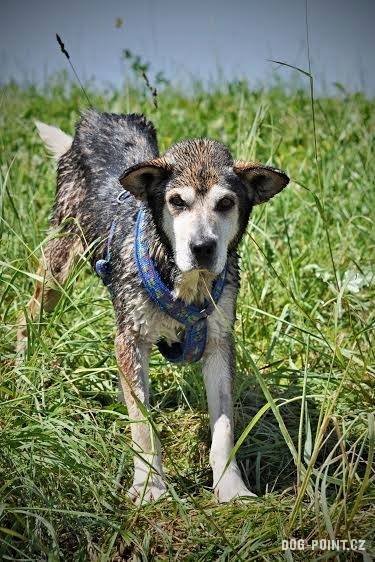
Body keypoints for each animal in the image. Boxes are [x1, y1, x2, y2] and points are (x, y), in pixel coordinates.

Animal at [17, 111, 290, 500]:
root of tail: (97, 119)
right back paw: (22, 368)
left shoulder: (219, 342)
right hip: (61, 260)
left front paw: (231, 488)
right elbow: (143, 425)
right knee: (28, 314)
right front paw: (149, 486)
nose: (202, 247)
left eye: (225, 203)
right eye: (177, 201)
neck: (185, 284)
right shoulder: (129, 340)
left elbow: (224, 431)